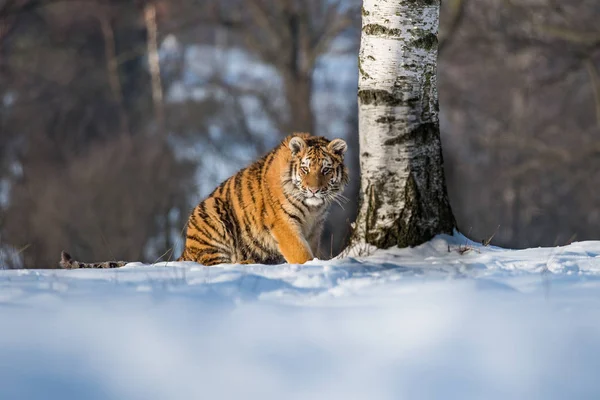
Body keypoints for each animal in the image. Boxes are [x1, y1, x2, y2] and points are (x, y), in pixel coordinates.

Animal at [58, 134, 350, 268]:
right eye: (305, 169)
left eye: (325, 170)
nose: (313, 190)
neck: (313, 209)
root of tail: (186, 247)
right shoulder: (283, 223)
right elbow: (300, 253)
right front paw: (311, 266)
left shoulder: (315, 227)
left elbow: (311, 248)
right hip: (214, 218)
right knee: (216, 264)